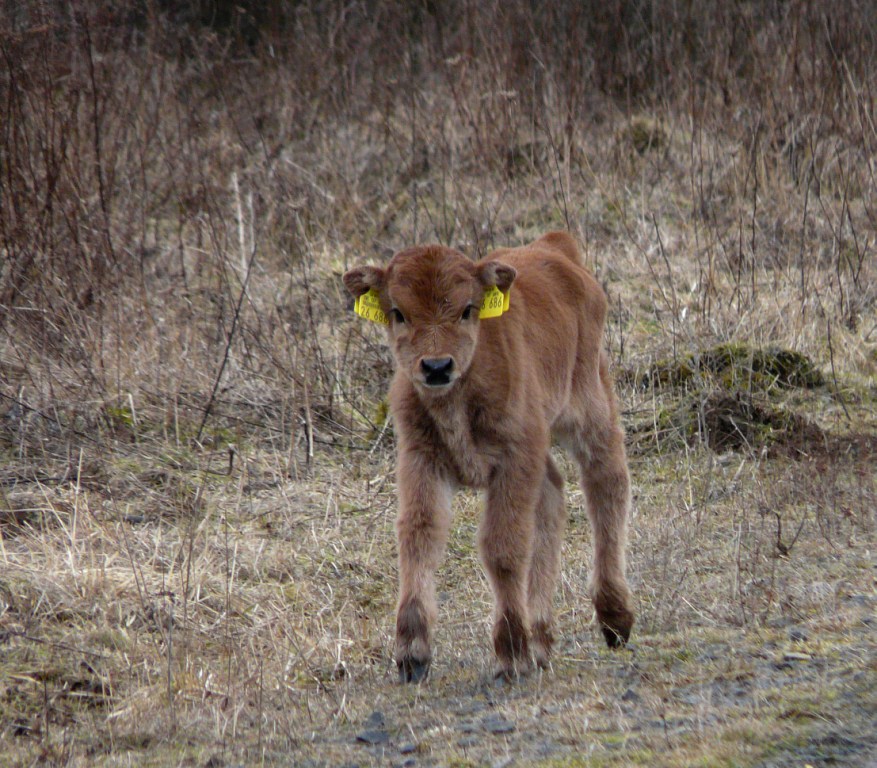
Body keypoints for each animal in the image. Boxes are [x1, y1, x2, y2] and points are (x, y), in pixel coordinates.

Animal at [344, 231, 636, 680]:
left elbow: (503, 546)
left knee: (607, 484)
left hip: (589, 406)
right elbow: (419, 535)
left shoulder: (513, 458)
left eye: (467, 309)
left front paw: (510, 653)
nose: (436, 366)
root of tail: (555, 246)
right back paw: (541, 640)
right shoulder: (420, 459)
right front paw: (412, 654)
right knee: (552, 498)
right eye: (398, 313)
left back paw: (614, 620)